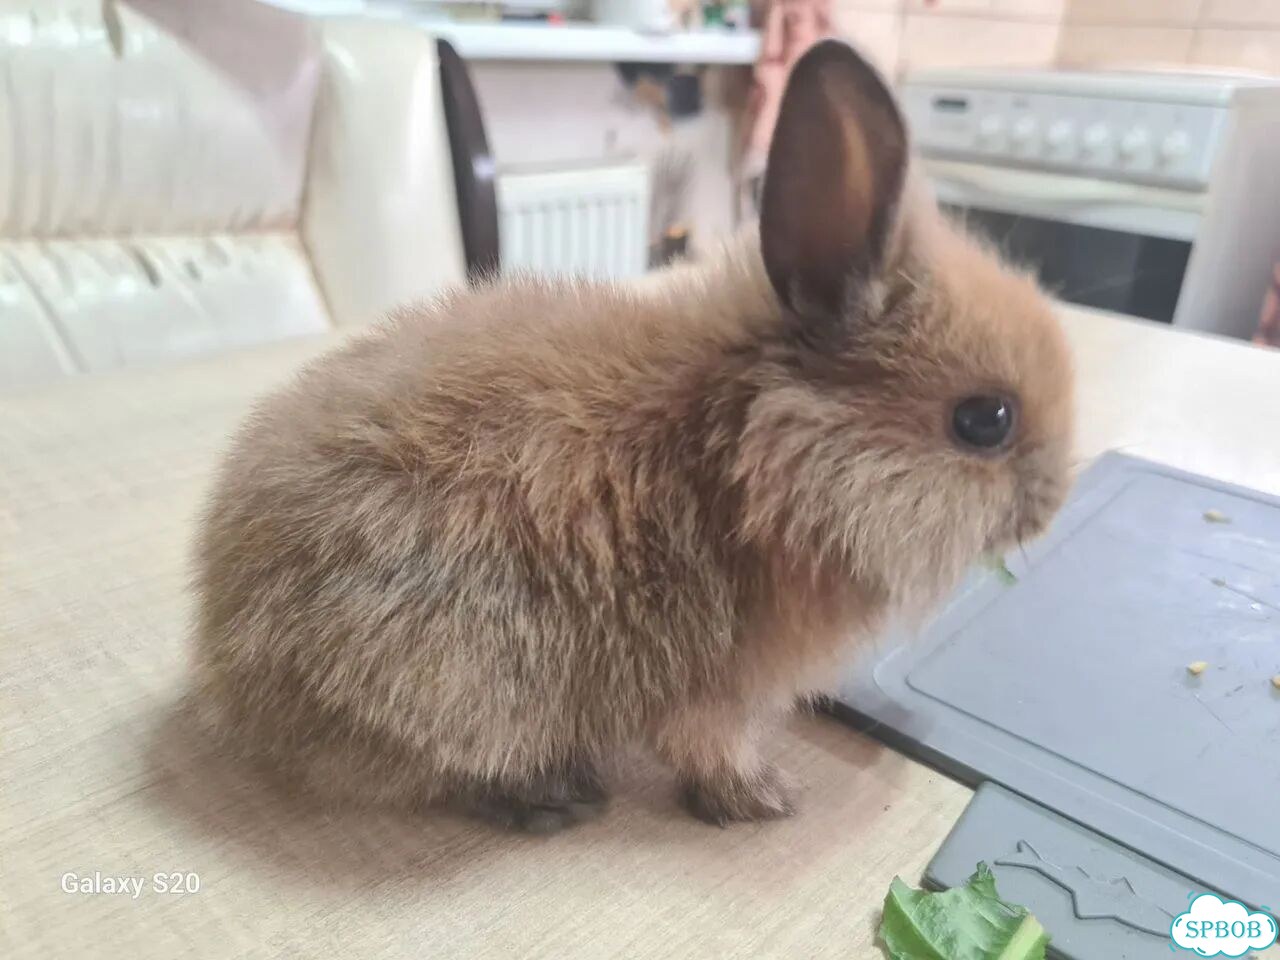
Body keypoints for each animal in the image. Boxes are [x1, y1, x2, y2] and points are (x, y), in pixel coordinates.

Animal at [192, 39, 1074, 833]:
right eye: (985, 421)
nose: (1050, 508)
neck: (743, 458)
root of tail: (230, 654)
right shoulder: (712, 688)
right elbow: (709, 749)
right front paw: (765, 801)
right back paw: (553, 798)